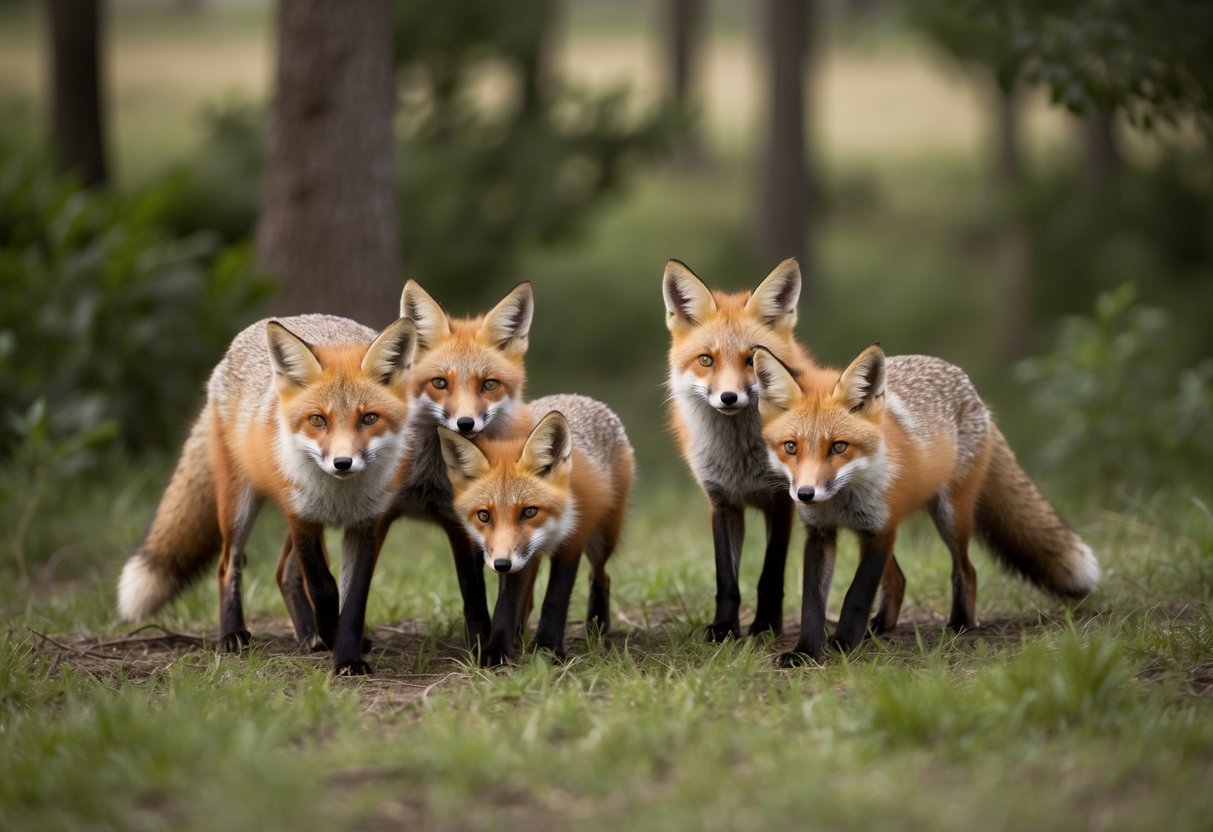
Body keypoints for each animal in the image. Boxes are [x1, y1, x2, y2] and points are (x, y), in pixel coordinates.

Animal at [116, 314, 417, 675]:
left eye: (369, 418)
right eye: (318, 420)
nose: (342, 463)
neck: (341, 497)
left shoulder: (365, 525)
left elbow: (353, 600)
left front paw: (347, 656)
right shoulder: (301, 517)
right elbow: (324, 588)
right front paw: (332, 636)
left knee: (282, 572)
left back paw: (308, 635)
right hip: (239, 506)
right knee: (228, 565)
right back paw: (233, 635)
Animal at [438, 396, 634, 663]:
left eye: (529, 511)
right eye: (484, 515)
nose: (501, 565)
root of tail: (577, 396)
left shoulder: (573, 540)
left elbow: (555, 598)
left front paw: (547, 648)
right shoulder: (513, 556)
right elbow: (507, 603)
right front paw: (498, 651)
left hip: (603, 539)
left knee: (601, 576)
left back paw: (597, 626)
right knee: (531, 598)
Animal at [663, 257, 817, 642]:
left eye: (752, 360)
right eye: (706, 360)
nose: (729, 397)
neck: (740, 461)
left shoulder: (782, 501)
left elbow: (769, 575)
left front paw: (765, 626)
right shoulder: (721, 501)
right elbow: (726, 579)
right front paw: (724, 628)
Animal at [752, 342, 1101, 665]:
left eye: (839, 447)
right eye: (790, 447)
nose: (805, 494)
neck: (841, 501)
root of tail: (971, 388)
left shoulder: (882, 529)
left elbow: (857, 594)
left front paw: (844, 643)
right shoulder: (822, 534)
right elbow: (812, 602)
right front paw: (805, 651)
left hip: (950, 516)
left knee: (967, 570)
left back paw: (959, 624)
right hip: (874, 532)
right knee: (899, 580)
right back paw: (880, 626)